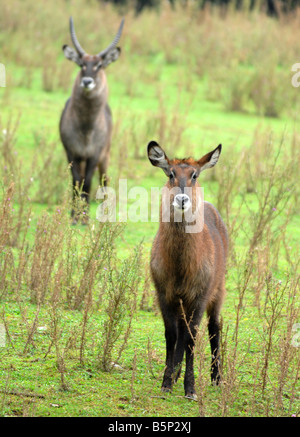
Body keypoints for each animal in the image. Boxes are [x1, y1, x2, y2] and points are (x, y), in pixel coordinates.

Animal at [59, 16, 124, 221]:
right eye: (81, 64)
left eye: (99, 65)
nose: (87, 81)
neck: (86, 128)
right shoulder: (71, 153)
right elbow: (76, 181)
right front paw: (75, 216)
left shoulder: (95, 154)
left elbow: (87, 182)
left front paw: (85, 218)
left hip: (106, 155)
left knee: (104, 179)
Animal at [148, 141, 227, 398]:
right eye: (171, 174)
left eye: (194, 175)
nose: (182, 200)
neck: (180, 264)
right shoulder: (165, 295)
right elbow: (172, 335)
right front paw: (166, 381)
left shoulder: (199, 296)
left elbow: (192, 337)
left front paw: (190, 389)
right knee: (181, 331)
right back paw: (175, 373)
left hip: (218, 292)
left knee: (214, 327)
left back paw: (216, 378)